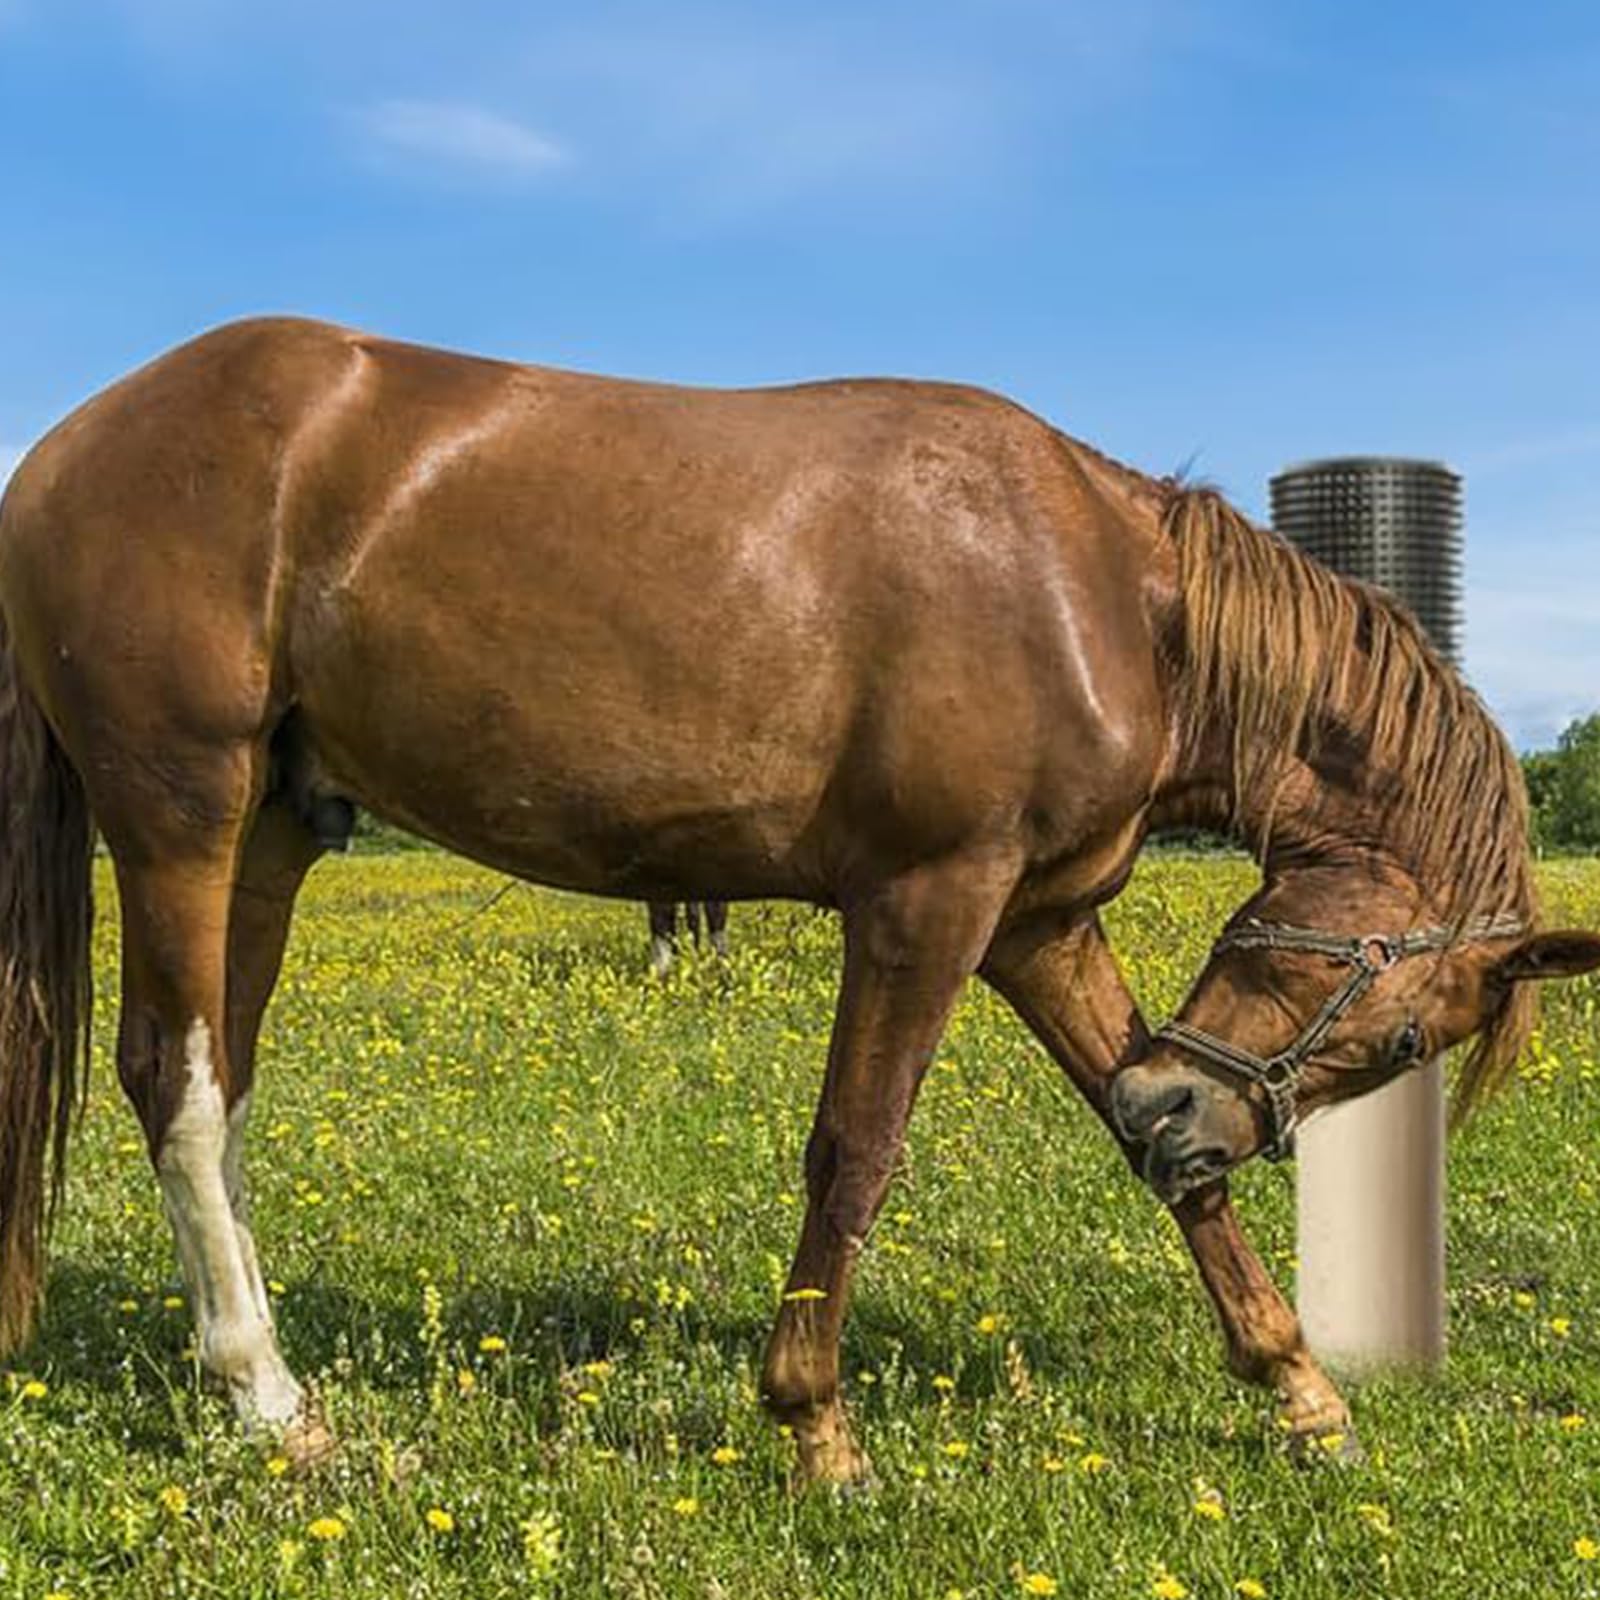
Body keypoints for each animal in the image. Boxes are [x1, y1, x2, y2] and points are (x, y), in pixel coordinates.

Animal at [0, 317, 1594, 1483]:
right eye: (1405, 1037)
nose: (1184, 1105)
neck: (1099, 590)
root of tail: (65, 449)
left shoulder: (1038, 923)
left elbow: (1143, 1153)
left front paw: (1299, 1386)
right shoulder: (928, 905)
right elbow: (856, 1149)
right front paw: (814, 1422)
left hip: (273, 828)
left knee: (223, 1084)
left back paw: (247, 1362)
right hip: (180, 814)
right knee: (173, 1082)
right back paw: (267, 1396)